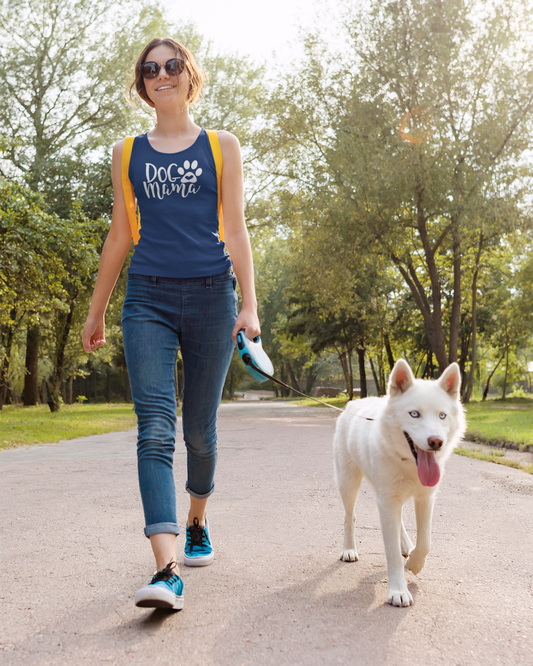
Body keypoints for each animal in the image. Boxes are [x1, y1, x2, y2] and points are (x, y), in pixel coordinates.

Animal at [334, 360, 464, 604]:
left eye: (442, 416)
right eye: (414, 414)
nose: (436, 442)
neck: (408, 463)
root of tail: (355, 402)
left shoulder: (425, 498)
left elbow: (425, 542)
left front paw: (414, 562)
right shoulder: (386, 502)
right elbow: (392, 552)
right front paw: (398, 591)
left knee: (399, 521)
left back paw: (406, 546)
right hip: (347, 483)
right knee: (349, 516)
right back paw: (349, 549)